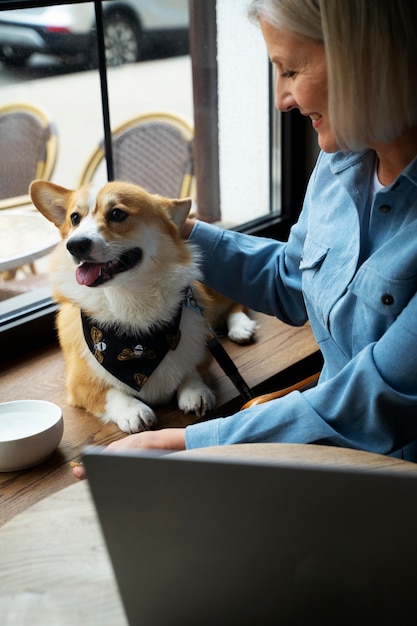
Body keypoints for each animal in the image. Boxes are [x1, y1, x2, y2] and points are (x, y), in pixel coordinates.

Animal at [29, 180, 255, 432]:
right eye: (75, 218)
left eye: (117, 213)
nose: (75, 245)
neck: (127, 297)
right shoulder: (79, 383)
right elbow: (109, 393)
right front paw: (133, 411)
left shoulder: (200, 348)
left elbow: (192, 368)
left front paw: (195, 392)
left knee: (235, 303)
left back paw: (241, 327)